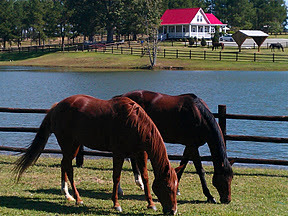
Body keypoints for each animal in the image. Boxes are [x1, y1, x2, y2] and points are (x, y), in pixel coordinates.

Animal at [15, 94, 180, 214]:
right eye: (168, 187)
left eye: (176, 186)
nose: (173, 211)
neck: (134, 122)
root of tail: (57, 107)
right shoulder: (118, 153)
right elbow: (116, 177)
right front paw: (116, 204)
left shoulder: (141, 153)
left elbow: (145, 178)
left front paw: (151, 204)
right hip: (69, 145)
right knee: (69, 168)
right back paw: (78, 198)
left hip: (74, 146)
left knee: (64, 165)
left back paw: (66, 194)